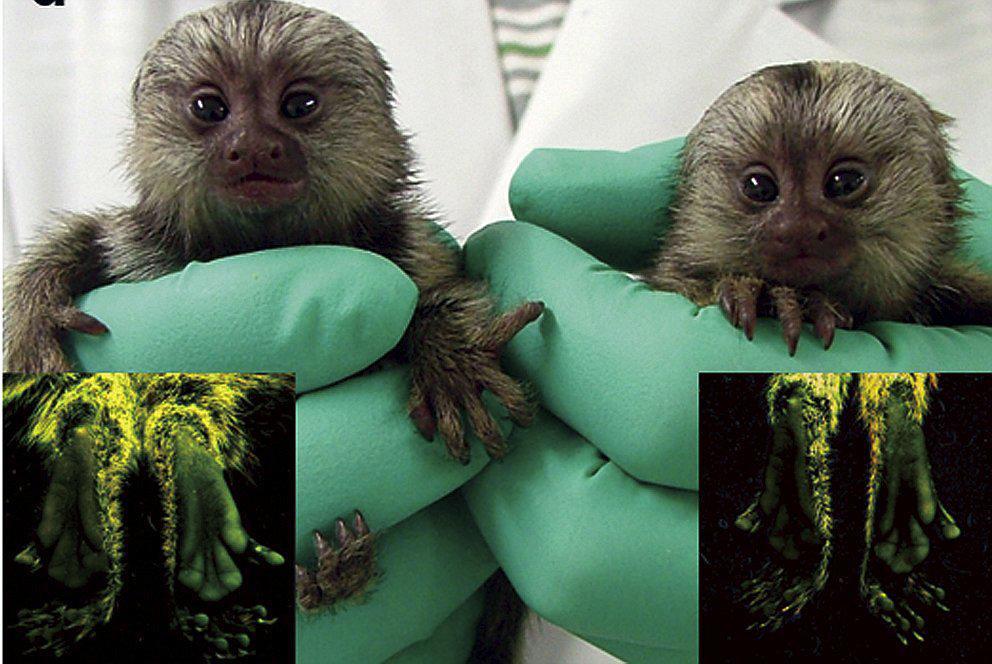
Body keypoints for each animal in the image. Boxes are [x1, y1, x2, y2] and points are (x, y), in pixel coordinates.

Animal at [2, 0, 542, 614]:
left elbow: (445, 297)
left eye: (299, 105)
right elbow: (84, 241)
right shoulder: (138, 249)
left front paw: (449, 361)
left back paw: (336, 574)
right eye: (210, 108)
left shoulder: (410, 251)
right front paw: (36, 311)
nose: (253, 144)